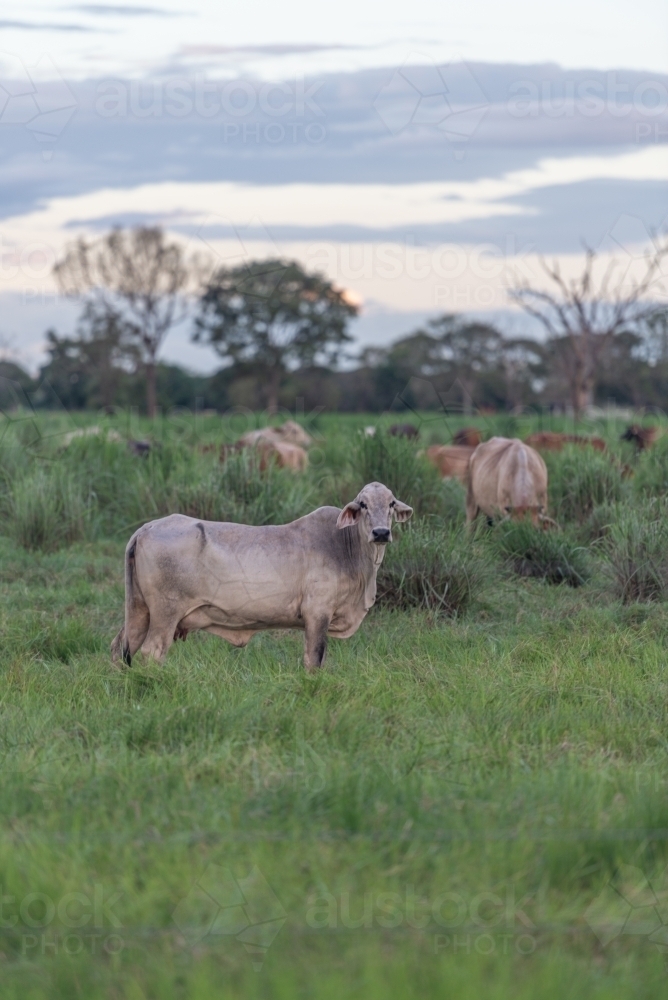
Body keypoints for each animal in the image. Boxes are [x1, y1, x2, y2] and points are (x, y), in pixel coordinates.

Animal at [110, 478, 412, 668]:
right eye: (362, 504)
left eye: (391, 503)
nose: (381, 533)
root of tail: (146, 528)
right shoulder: (317, 613)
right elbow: (314, 660)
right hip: (165, 613)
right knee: (151, 653)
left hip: (138, 610)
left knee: (120, 647)